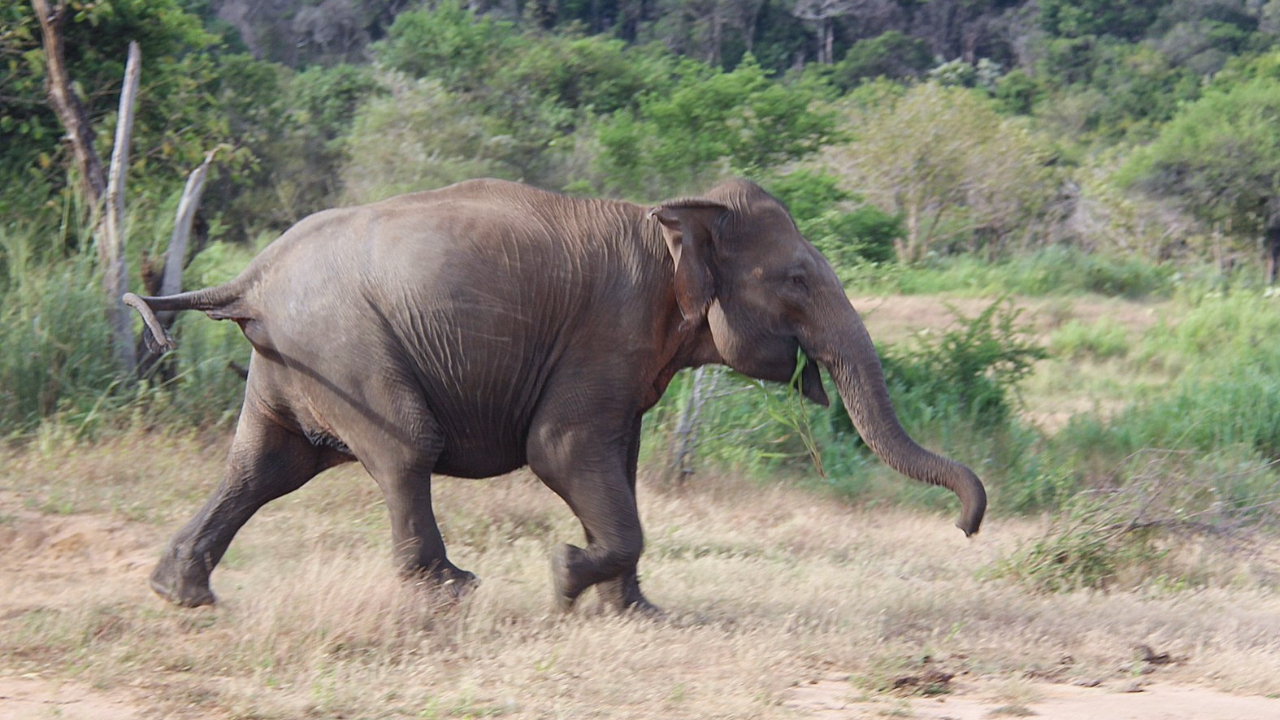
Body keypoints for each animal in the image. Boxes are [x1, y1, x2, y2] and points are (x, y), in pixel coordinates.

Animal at [124, 178, 983, 609]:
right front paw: (566, 577)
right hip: (344, 344)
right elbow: (563, 451)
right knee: (404, 447)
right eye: (799, 280)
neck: (671, 215)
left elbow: (617, 466)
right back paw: (452, 593)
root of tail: (250, 277)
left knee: (264, 466)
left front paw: (635, 614)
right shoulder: (607, 330)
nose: (969, 527)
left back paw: (181, 595)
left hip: (296, 356)